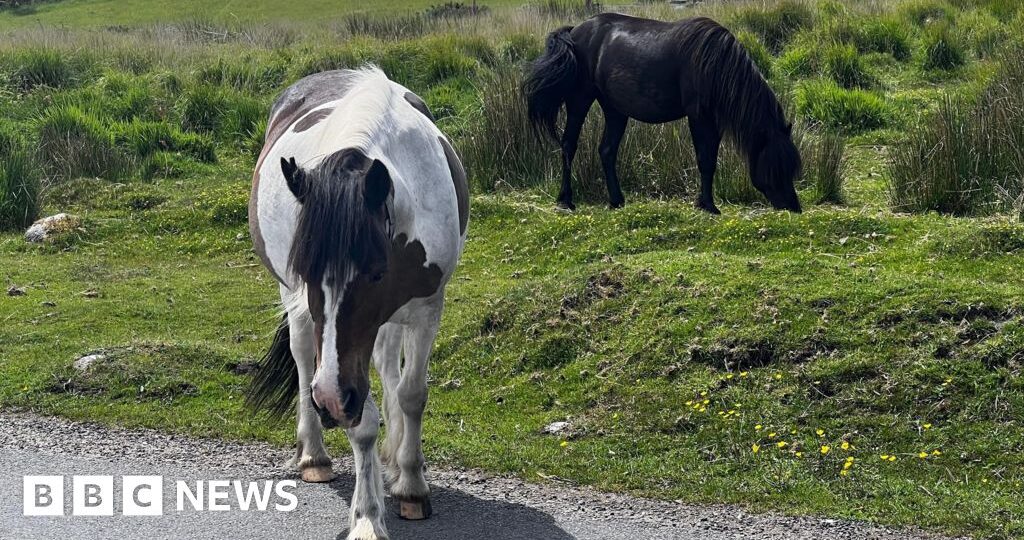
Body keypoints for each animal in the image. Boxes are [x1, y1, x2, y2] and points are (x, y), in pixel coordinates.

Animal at [245, 67, 469, 540]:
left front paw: (411, 482)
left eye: (376, 273)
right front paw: (367, 515)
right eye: (307, 271)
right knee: (303, 358)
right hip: (297, 312)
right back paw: (314, 455)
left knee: (387, 367)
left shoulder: (426, 308)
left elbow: (412, 393)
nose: (330, 399)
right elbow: (362, 422)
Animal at [523, 13, 802, 214]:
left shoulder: (715, 121)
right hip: (579, 100)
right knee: (568, 145)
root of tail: (575, 32)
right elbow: (705, 159)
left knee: (607, 150)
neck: (714, 64)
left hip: (615, 110)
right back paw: (566, 200)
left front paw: (705, 203)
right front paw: (708, 206)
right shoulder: (698, 116)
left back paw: (617, 200)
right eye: (776, 165)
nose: (794, 207)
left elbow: (711, 160)